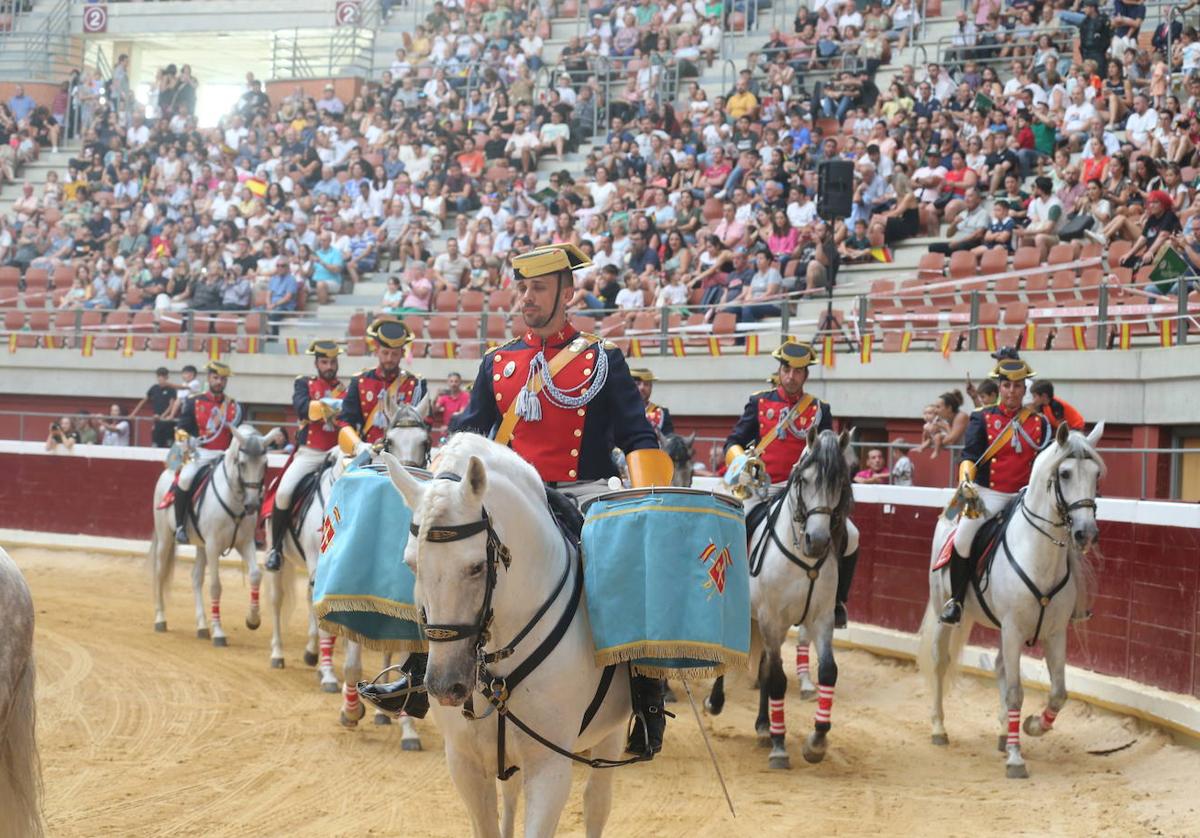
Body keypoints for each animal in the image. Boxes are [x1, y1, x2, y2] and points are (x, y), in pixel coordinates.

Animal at [148, 420, 279, 643]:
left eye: (266, 464)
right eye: (242, 463)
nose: (253, 504)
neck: (233, 499)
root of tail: (169, 473)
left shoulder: (245, 543)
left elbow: (255, 575)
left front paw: (253, 619)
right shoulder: (213, 546)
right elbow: (216, 586)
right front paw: (219, 632)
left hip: (201, 546)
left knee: (195, 578)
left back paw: (202, 626)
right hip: (166, 538)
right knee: (160, 572)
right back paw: (160, 619)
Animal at [386, 434, 638, 835]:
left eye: (476, 567)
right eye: (411, 564)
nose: (445, 685)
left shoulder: (549, 769)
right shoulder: (465, 764)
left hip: (609, 736)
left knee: (597, 803)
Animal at [705, 427, 859, 768]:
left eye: (842, 482)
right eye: (805, 479)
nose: (818, 541)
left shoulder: (820, 618)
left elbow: (827, 671)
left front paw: (816, 741)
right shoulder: (772, 619)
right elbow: (776, 678)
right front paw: (780, 746)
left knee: (762, 666)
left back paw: (764, 725)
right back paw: (716, 702)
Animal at [916, 420, 1104, 777]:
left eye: (1096, 474)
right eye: (1065, 473)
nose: (1086, 533)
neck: (1039, 554)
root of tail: (950, 517)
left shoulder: (1054, 633)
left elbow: (1058, 693)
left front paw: (1032, 726)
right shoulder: (1014, 629)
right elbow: (1016, 692)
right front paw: (1017, 759)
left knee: (1001, 667)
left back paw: (1005, 734)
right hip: (942, 608)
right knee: (939, 661)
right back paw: (938, 728)